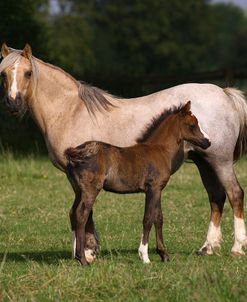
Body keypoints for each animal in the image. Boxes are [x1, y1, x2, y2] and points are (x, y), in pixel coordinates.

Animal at [65, 101, 210, 264]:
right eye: (192, 125)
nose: (207, 142)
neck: (160, 150)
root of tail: (76, 153)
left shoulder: (158, 190)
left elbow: (158, 218)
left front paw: (164, 254)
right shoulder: (152, 188)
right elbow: (148, 218)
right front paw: (144, 256)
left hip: (78, 191)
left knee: (72, 213)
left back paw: (75, 255)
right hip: (90, 190)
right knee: (81, 215)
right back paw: (83, 259)